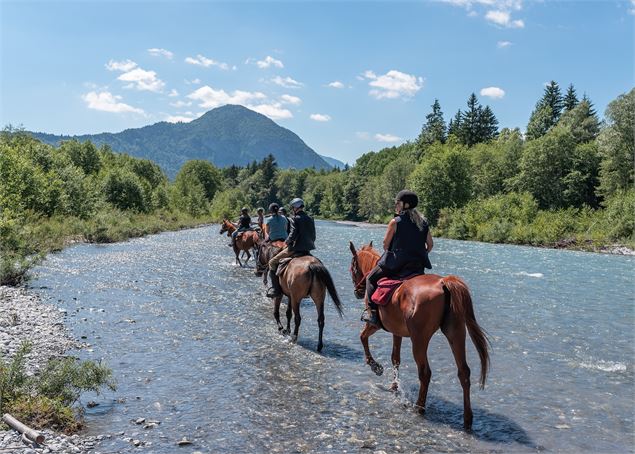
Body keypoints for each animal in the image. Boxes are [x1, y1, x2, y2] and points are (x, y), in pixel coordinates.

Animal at [348, 241, 492, 430]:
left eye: (353, 267)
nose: (358, 291)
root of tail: (444, 282)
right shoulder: (397, 331)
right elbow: (395, 358)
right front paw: (394, 386)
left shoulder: (375, 324)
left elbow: (362, 337)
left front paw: (375, 366)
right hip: (456, 332)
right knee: (464, 372)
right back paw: (467, 419)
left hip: (419, 339)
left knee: (425, 372)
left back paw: (419, 407)